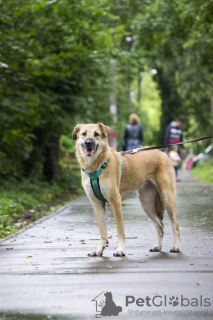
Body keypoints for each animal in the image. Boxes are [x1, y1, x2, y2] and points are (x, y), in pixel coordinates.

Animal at [72, 124, 181, 256]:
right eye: (84, 133)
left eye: (96, 134)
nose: (88, 143)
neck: (95, 167)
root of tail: (162, 153)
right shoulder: (97, 204)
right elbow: (103, 232)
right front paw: (99, 250)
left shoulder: (115, 201)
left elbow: (120, 230)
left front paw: (120, 249)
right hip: (146, 203)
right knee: (160, 224)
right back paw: (157, 246)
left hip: (167, 197)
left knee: (175, 224)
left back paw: (176, 246)